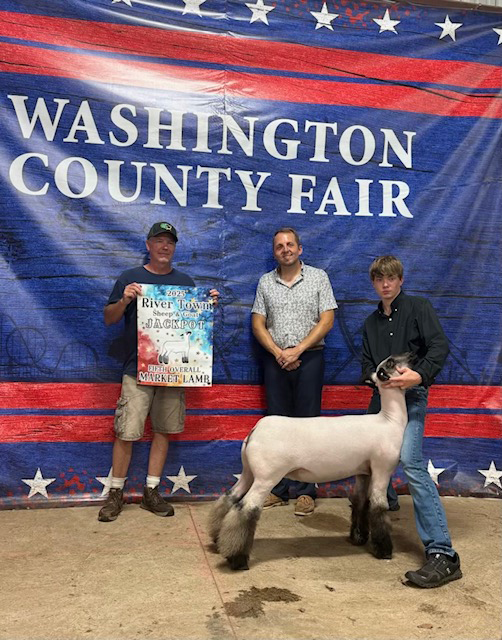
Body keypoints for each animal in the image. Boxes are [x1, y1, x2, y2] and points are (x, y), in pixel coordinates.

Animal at [208, 352, 412, 571]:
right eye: (390, 363)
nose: (411, 355)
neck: (389, 420)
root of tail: (255, 430)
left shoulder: (364, 472)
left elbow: (360, 502)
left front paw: (359, 537)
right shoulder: (383, 469)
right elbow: (378, 507)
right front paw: (384, 551)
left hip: (248, 472)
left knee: (229, 497)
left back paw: (217, 539)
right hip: (266, 477)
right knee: (246, 509)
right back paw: (237, 559)